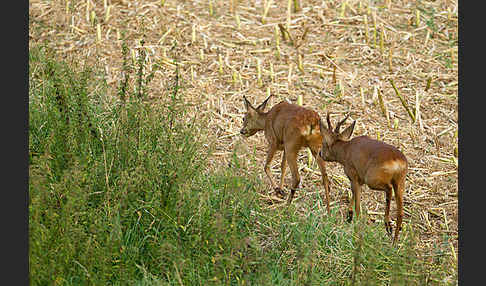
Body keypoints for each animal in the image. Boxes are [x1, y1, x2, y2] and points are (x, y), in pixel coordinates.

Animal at [318, 113, 408, 242]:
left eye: (324, 142)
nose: (320, 153)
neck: (346, 150)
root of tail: (397, 160)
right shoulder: (359, 180)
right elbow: (353, 195)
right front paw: (349, 216)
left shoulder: (354, 176)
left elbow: (358, 207)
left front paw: (352, 221)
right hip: (400, 183)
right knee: (400, 213)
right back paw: (394, 241)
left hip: (373, 180)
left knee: (389, 190)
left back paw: (387, 224)